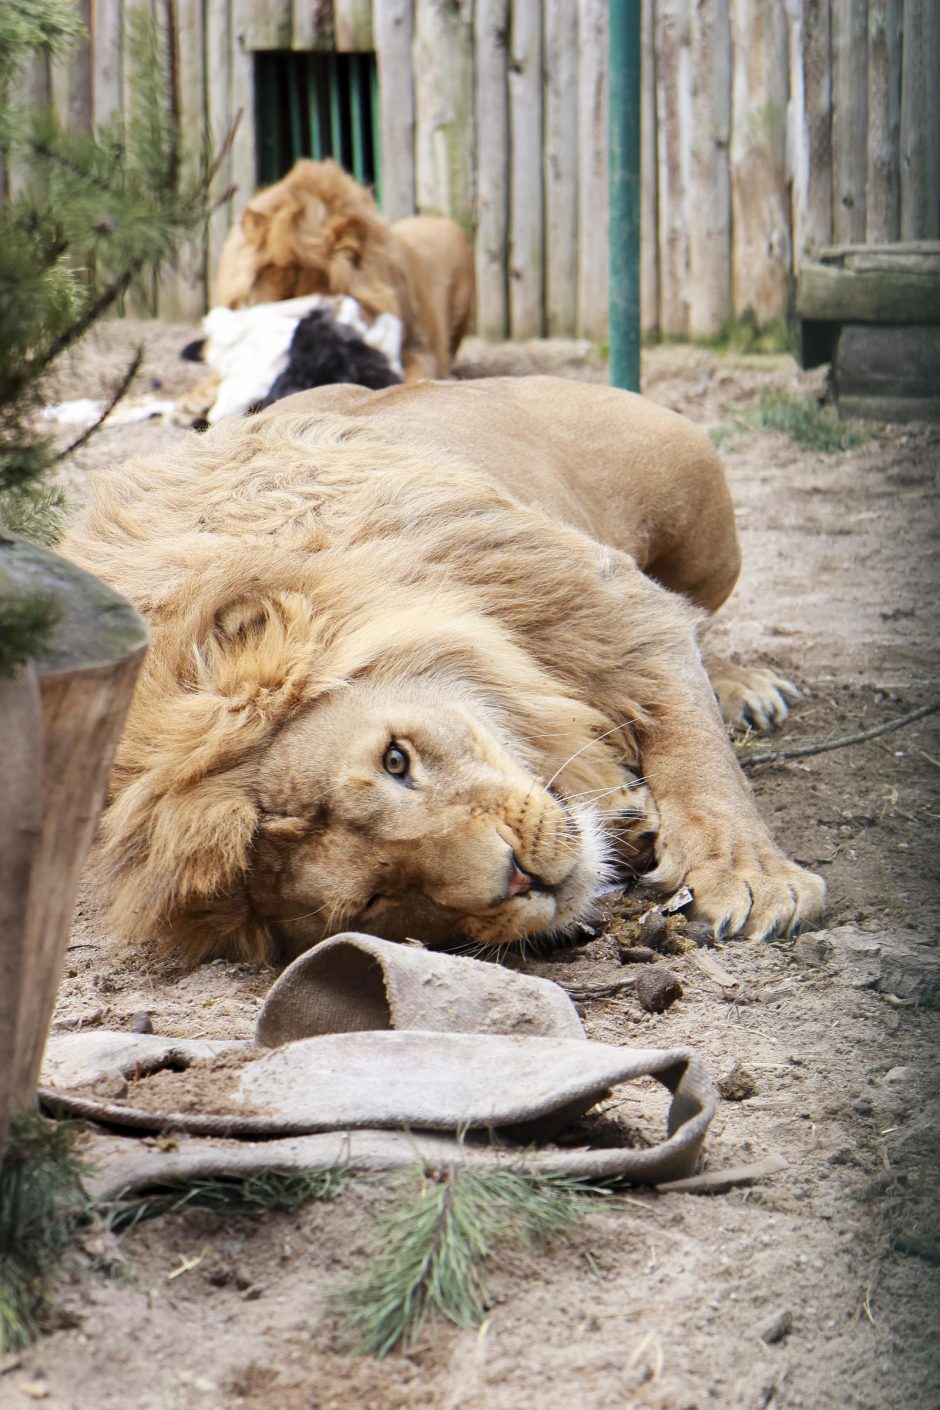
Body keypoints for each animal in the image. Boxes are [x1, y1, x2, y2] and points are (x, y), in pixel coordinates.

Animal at [60, 377, 823, 970]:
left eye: (395, 759)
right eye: (374, 899)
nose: (516, 881)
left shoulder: (600, 605)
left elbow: (697, 751)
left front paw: (747, 876)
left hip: (698, 504)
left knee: (700, 615)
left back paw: (744, 688)